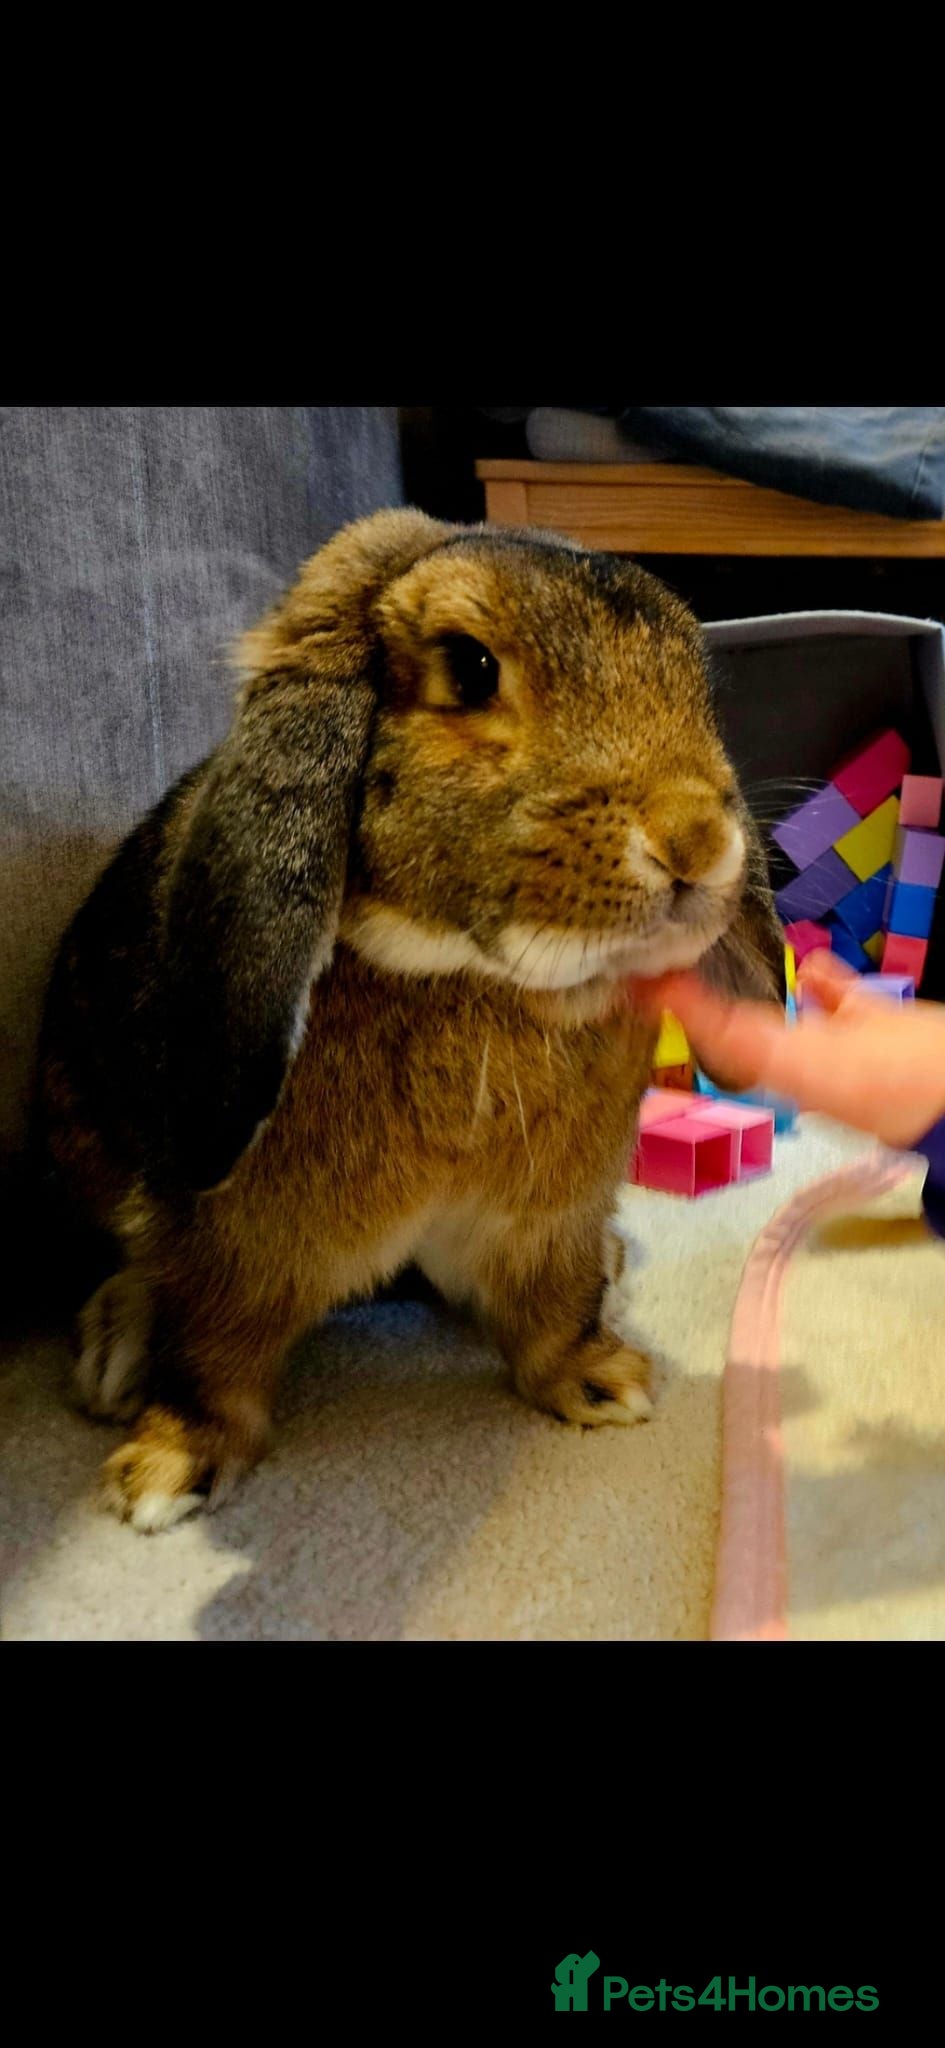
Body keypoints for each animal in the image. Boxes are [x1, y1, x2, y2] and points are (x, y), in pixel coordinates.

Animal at [35, 507, 784, 1531]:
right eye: (469, 668)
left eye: (694, 683)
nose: (698, 842)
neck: (466, 975)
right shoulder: (229, 1244)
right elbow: (210, 1355)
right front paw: (166, 1473)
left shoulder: (542, 1221)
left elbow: (553, 1308)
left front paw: (603, 1384)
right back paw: (114, 1354)